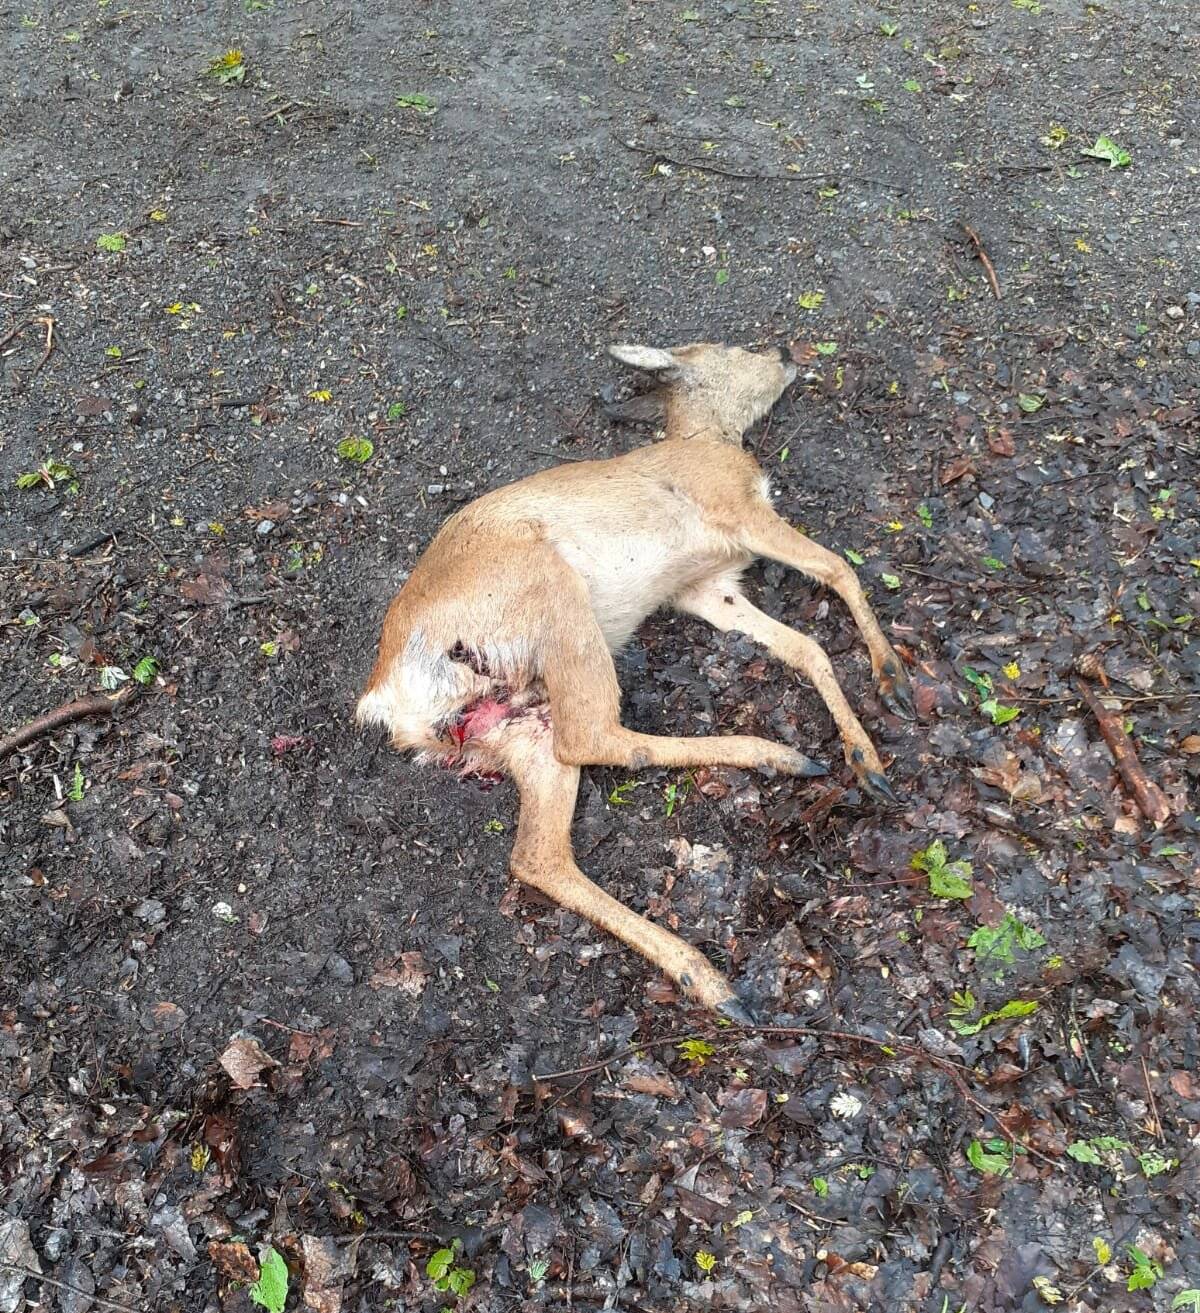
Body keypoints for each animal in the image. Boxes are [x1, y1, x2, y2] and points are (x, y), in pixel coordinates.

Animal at [357, 339, 914, 1021]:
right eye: (733, 349)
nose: (786, 351)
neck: (707, 435)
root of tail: (387, 698)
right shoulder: (736, 506)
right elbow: (838, 569)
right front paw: (892, 681)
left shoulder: (707, 587)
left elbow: (805, 647)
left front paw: (867, 758)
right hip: (552, 596)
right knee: (593, 734)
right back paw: (778, 756)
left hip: (516, 722)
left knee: (537, 852)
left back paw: (709, 979)